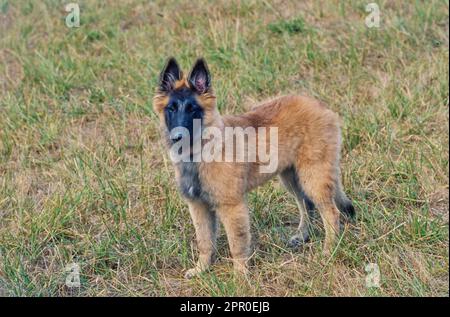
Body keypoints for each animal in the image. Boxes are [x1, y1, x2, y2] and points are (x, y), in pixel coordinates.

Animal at [153, 56, 354, 276]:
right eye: (171, 109)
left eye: (193, 110)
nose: (177, 137)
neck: (203, 150)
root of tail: (320, 105)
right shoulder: (198, 206)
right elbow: (204, 241)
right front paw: (201, 269)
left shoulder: (232, 206)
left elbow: (237, 244)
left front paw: (240, 275)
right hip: (291, 177)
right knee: (306, 205)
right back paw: (302, 236)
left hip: (314, 176)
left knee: (331, 213)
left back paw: (328, 252)